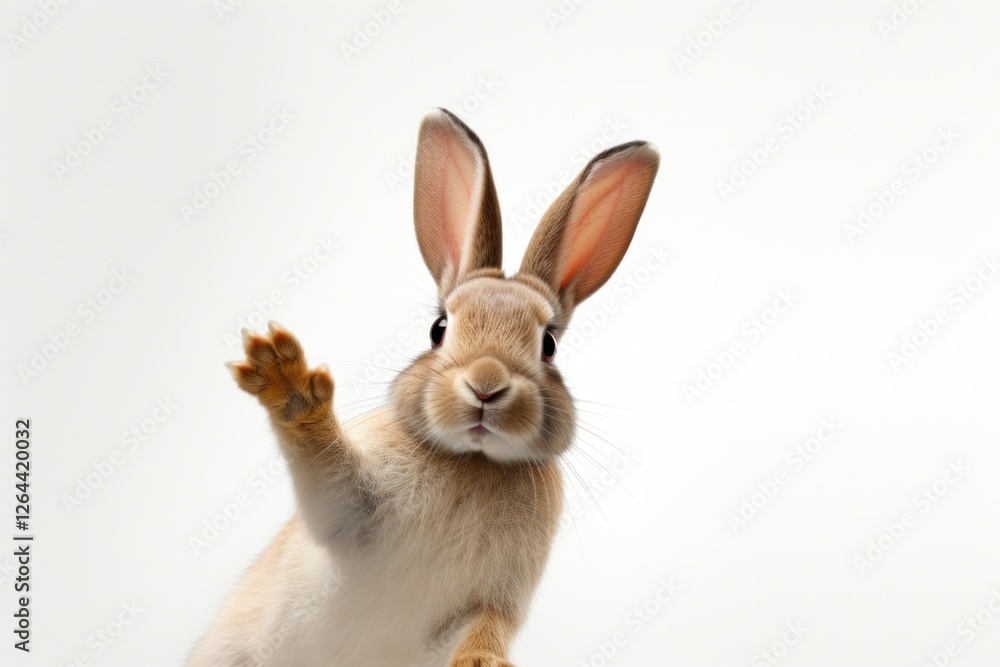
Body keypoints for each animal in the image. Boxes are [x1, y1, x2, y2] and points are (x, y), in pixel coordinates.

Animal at [188, 108, 659, 667]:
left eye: (548, 345)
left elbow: (484, 628)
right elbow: (323, 465)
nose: (485, 386)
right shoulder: (351, 511)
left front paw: (482, 663)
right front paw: (286, 378)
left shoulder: (488, 603)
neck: (474, 461)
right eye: (439, 328)